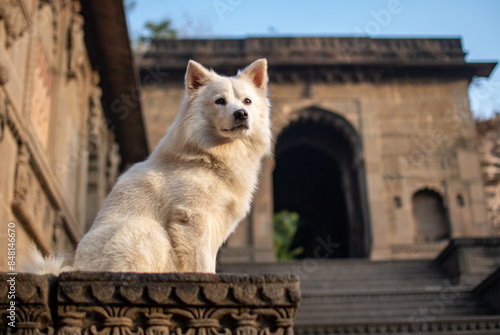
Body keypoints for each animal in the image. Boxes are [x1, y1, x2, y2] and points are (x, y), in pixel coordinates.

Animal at [25, 59, 272, 276]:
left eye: (247, 101)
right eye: (220, 101)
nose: (241, 114)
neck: (210, 155)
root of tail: (77, 268)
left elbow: (209, 259)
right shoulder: (193, 217)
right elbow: (202, 261)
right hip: (147, 229)